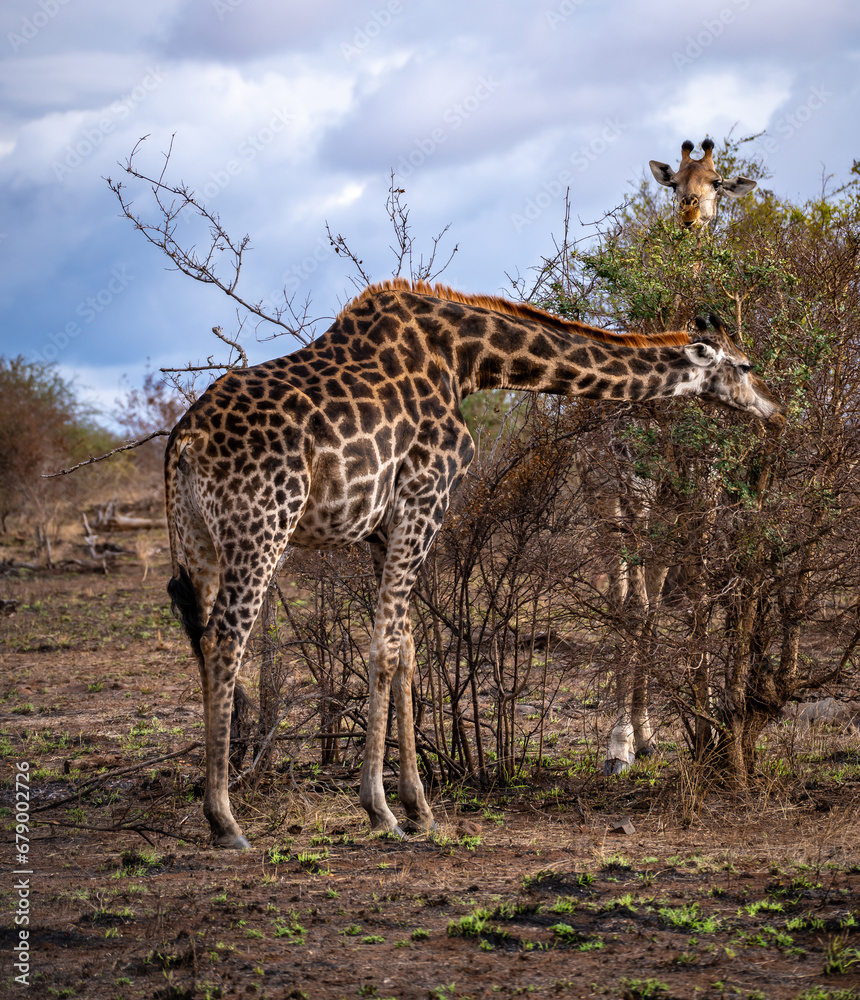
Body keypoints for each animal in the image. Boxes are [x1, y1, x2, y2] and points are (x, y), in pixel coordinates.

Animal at [164, 279, 786, 848]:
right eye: (745, 365)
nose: (776, 410)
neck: (466, 360)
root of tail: (184, 442)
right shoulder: (426, 496)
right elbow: (385, 647)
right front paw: (380, 809)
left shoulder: (383, 526)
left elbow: (407, 647)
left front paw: (418, 807)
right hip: (263, 528)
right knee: (225, 639)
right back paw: (225, 821)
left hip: (198, 543)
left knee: (200, 636)